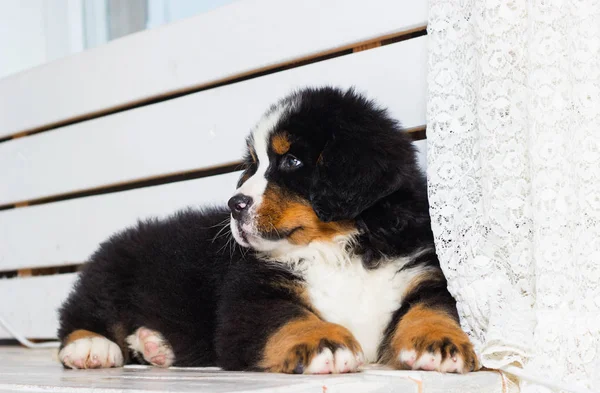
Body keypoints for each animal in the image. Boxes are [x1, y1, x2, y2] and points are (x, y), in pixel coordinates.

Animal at [57, 86, 478, 374]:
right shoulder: (249, 296)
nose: (234, 204)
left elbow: (433, 308)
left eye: (291, 160)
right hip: (111, 273)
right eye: (253, 165)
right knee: (80, 314)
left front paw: (439, 342)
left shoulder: (421, 272)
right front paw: (323, 341)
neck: (338, 249)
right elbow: (287, 318)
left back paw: (154, 345)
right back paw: (91, 347)